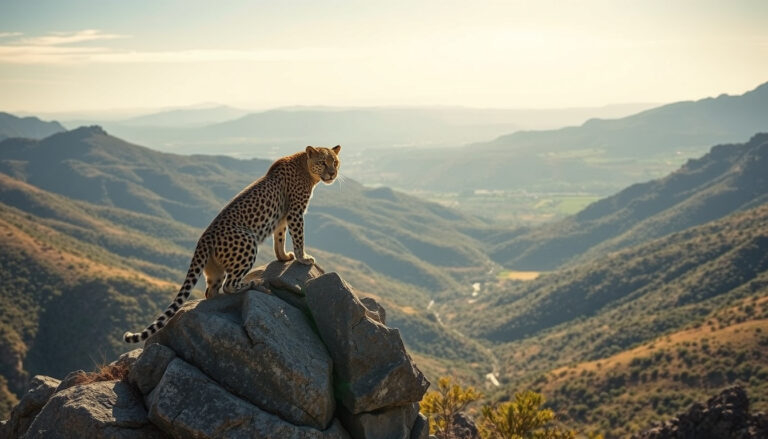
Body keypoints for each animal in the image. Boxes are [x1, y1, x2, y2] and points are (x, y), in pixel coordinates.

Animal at [123, 145, 341, 343]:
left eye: (336, 162)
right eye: (323, 162)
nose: (333, 173)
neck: (306, 168)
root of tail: (204, 238)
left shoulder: (282, 217)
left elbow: (279, 238)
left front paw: (283, 257)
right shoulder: (295, 212)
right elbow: (298, 237)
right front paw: (302, 258)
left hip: (215, 270)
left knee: (211, 291)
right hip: (248, 242)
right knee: (230, 284)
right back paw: (255, 284)